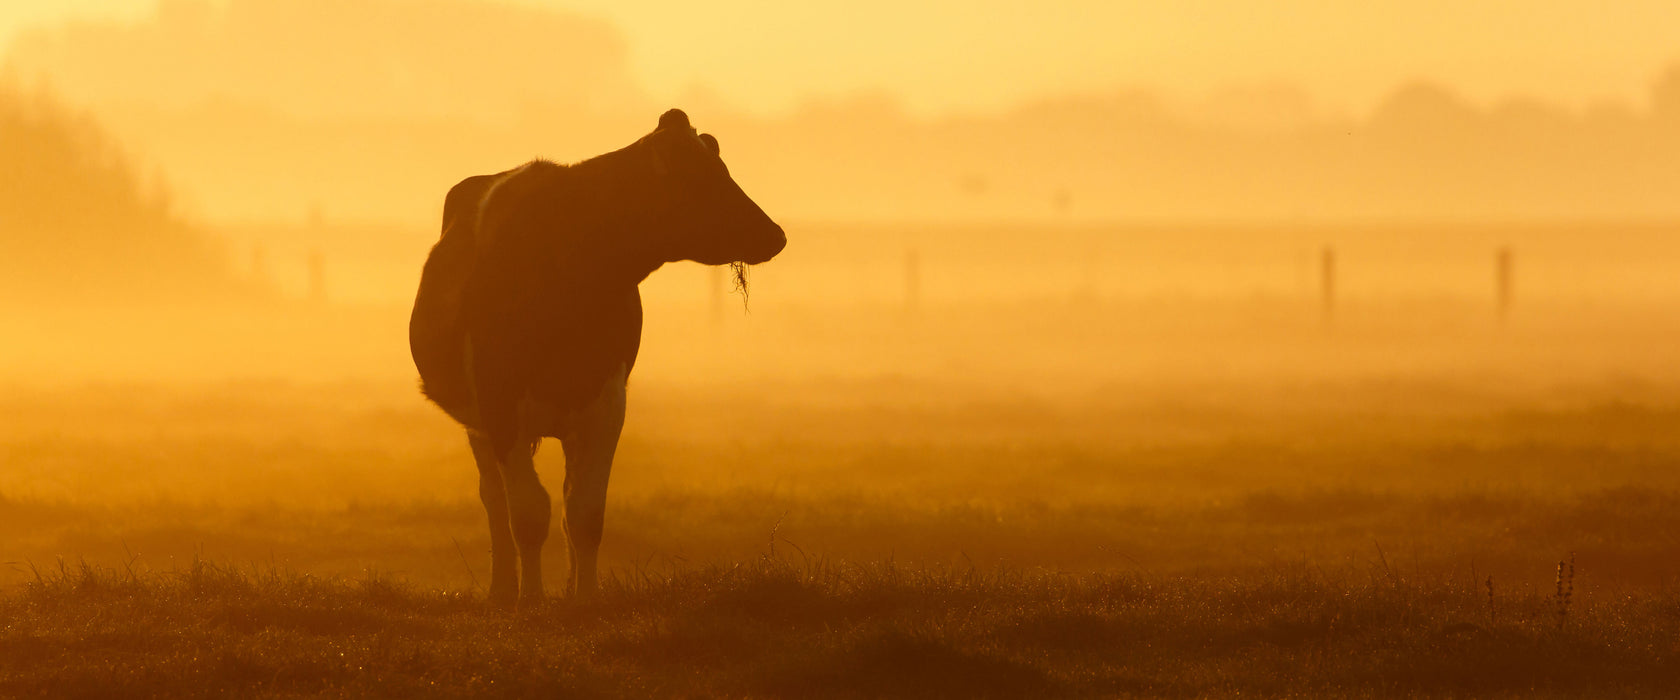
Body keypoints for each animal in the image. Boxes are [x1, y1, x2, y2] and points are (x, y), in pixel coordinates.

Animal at [409, 106, 782, 604]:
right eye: (702, 177)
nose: (775, 235)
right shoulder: (498, 402)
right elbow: (527, 513)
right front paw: (531, 599)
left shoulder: (606, 401)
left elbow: (585, 512)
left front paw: (584, 599)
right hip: (479, 424)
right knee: (494, 500)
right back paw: (503, 589)